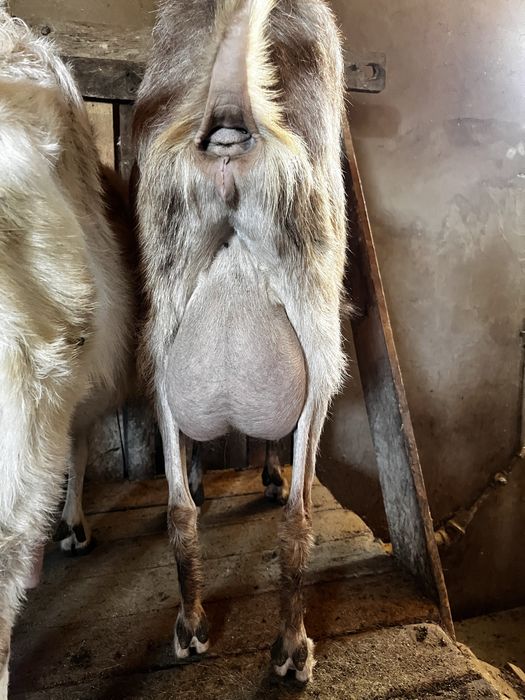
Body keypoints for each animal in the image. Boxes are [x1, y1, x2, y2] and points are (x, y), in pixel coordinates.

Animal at [133, 0, 346, 682]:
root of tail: (230, 130)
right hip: (318, 326)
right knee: (299, 515)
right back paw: (293, 650)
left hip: (164, 326)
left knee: (179, 509)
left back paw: (192, 625)